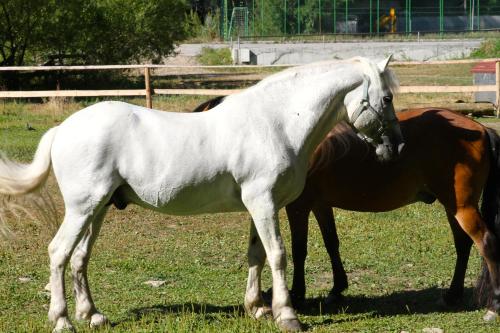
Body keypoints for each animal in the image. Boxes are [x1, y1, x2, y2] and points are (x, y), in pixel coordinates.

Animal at [0, 55, 402, 330]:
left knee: (80, 258)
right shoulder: (263, 203)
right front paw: (286, 315)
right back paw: (62, 320)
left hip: (97, 210)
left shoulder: (259, 206)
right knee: (58, 253)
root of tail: (63, 129)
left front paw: (257, 307)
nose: (396, 146)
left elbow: (256, 255)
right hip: (82, 209)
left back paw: (92, 315)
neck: (277, 123)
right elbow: (278, 255)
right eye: (386, 98)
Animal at [193, 98, 500, 320]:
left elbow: (300, 249)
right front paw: (337, 289)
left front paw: (298, 294)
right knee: (463, 245)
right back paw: (452, 294)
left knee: (486, 243)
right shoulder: (320, 205)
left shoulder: (298, 207)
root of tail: (480, 128)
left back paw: (493, 306)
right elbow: (332, 243)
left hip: (462, 207)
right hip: (453, 206)